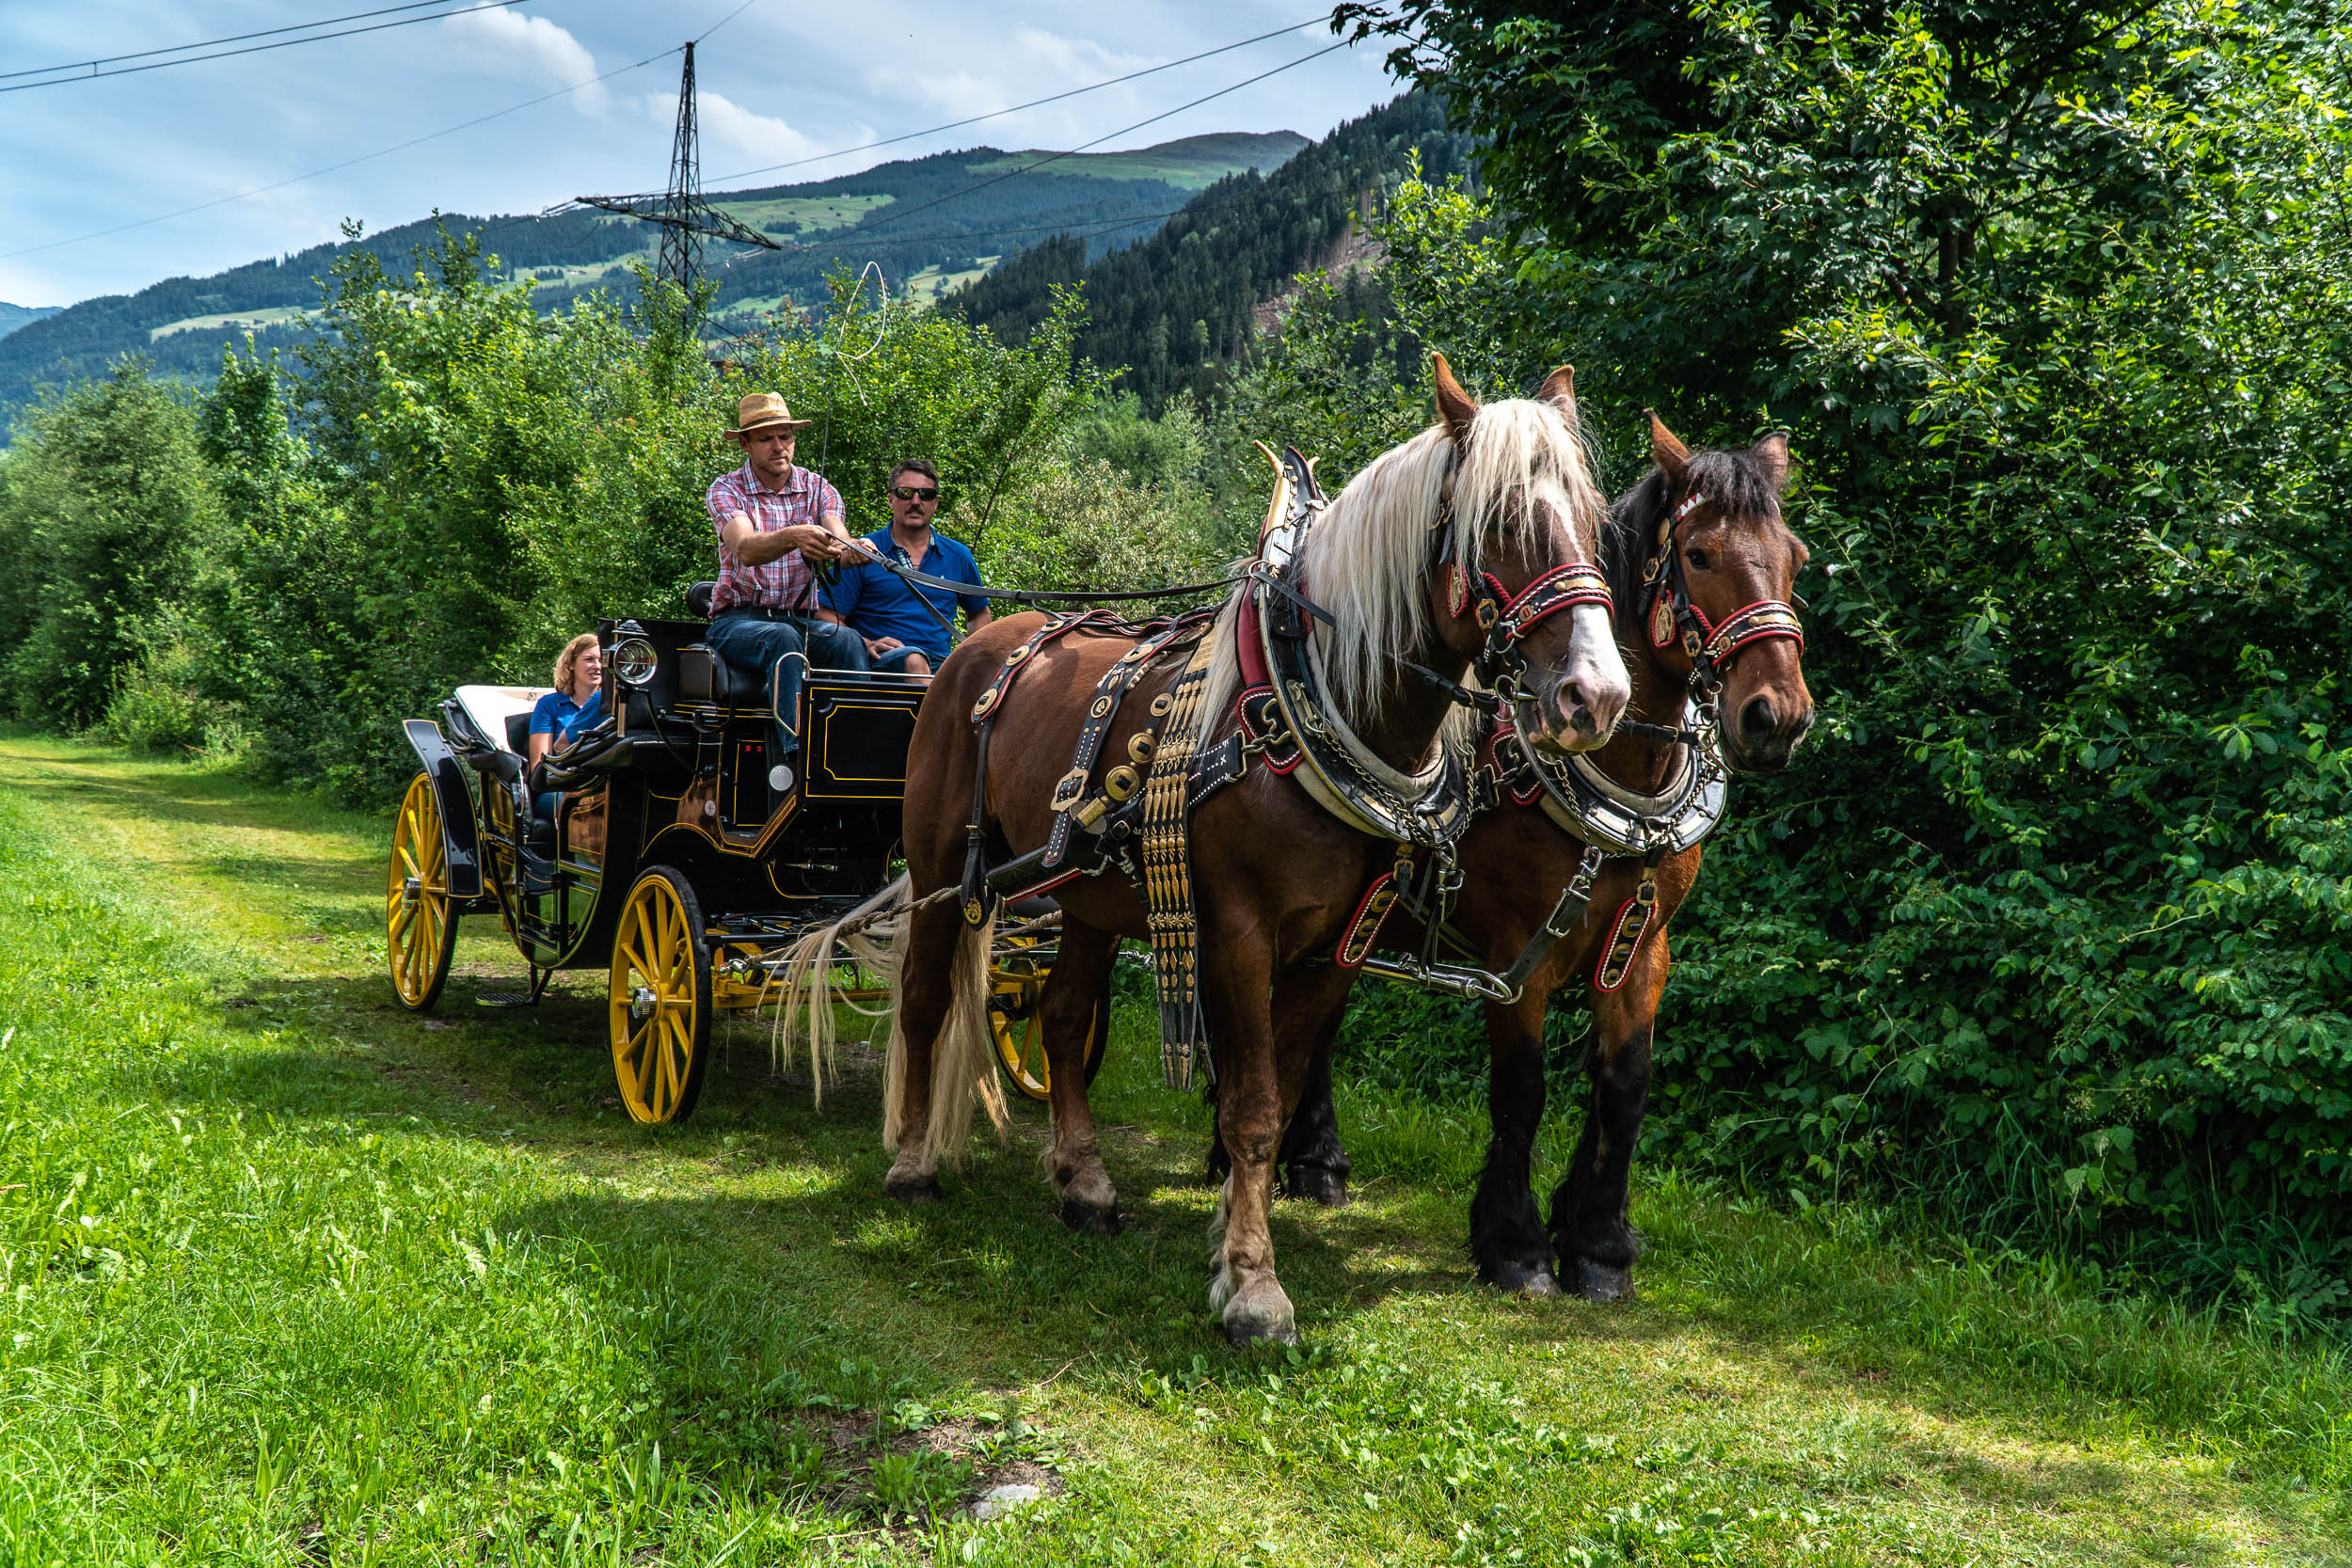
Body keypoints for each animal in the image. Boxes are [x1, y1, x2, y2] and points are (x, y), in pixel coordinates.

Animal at [884, 359, 1637, 1354]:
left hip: (1086, 895)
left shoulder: (1335, 946)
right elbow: (1247, 1109)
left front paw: (1234, 1245)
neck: (1316, 707)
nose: (1598, 696)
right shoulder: (1237, 932)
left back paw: (1085, 1183)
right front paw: (1254, 1287)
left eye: (1595, 521)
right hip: (940, 870)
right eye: (1502, 522)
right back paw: (911, 1162)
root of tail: (982, 640)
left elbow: (1274, 1099)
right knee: (925, 1000)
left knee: (1061, 1016)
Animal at [1232, 413, 1816, 1297]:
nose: (1776, 716)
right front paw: (1517, 1244)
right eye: (1699, 554)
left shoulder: (1644, 945)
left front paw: (1600, 1241)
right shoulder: (1517, 952)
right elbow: (1522, 1090)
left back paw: (1316, 1162)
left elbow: (1624, 1087)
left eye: (1795, 558)